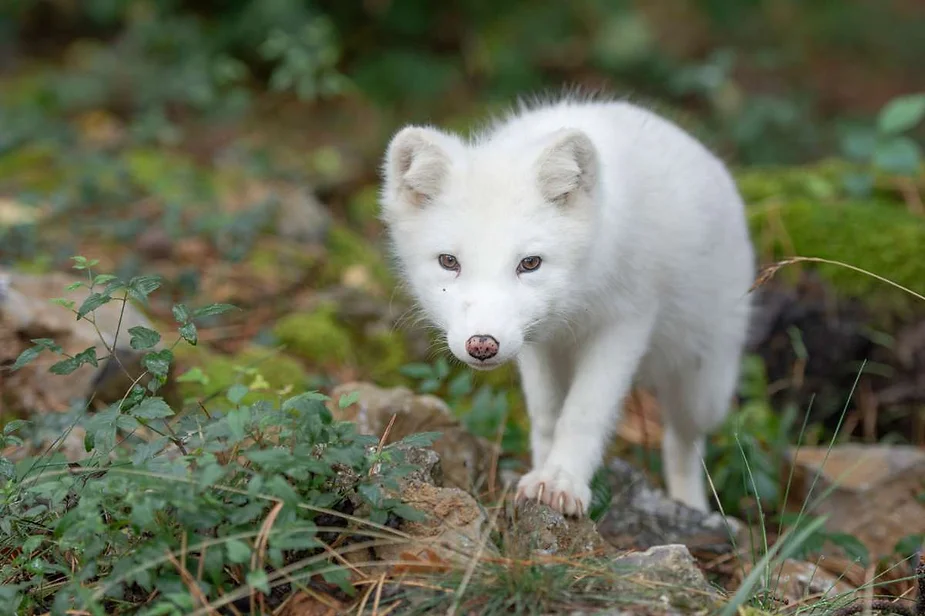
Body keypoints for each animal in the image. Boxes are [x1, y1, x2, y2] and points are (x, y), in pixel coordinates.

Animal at [378, 92, 756, 516]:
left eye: (530, 263)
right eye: (449, 262)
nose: (482, 345)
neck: (576, 303)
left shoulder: (626, 321)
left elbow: (583, 413)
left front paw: (562, 481)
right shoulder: (536, 342)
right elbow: (547, 415)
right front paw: (541, 476)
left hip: (704, 386)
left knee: (683, 441)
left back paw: (691, 506)